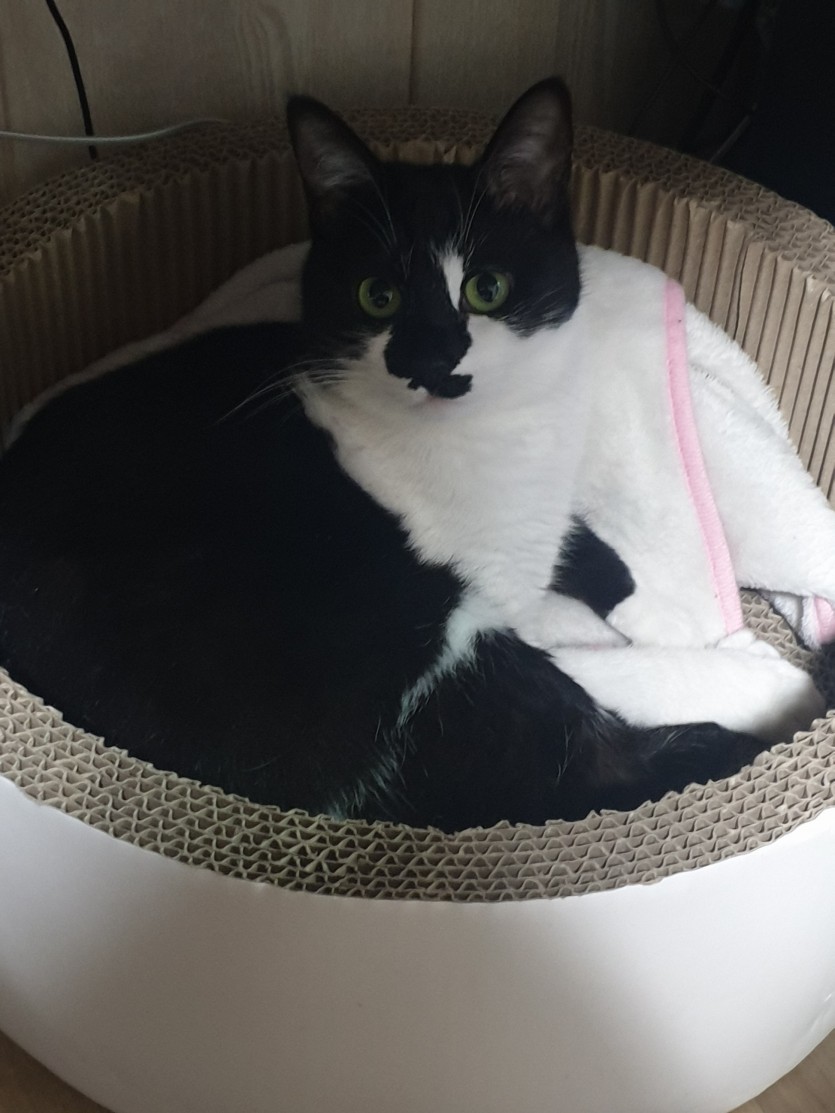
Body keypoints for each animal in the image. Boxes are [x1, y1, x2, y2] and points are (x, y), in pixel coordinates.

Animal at [0, 78, 765, 831]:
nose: (428, 360)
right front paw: (711, 657)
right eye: (378, 297)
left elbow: (584, 543)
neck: (491, 447)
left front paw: (657, 611)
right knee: (577, 766)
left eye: (487, 288)